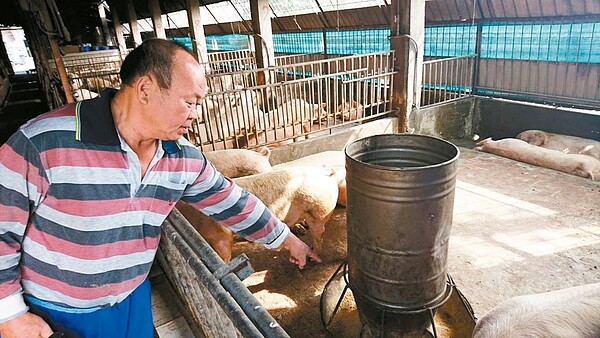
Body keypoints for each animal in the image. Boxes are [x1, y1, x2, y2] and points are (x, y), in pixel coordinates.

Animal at [176, 166, 340, 262]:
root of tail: (324, 172)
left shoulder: (221, 236)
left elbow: (224, 256)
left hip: (319, 211)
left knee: (319, 234)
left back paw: (314, 255)